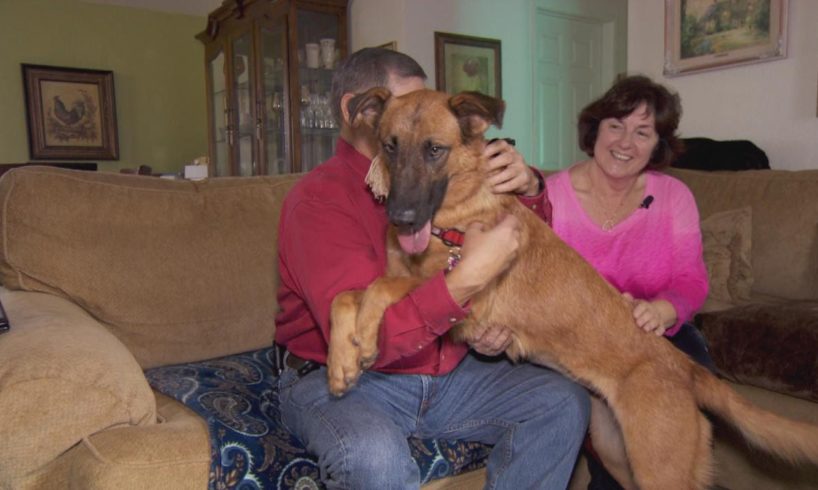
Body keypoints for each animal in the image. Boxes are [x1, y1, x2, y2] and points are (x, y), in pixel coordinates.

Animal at [324, 89, 816, 490]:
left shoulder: (464, 295)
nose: (401, 218)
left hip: (659, 469)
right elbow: (344, 295)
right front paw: (341, 362)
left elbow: (382, 286)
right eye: (389, 146)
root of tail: (685, 367)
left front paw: (365, 338)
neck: (454, 220)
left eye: (434, 150)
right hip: (620, 456)